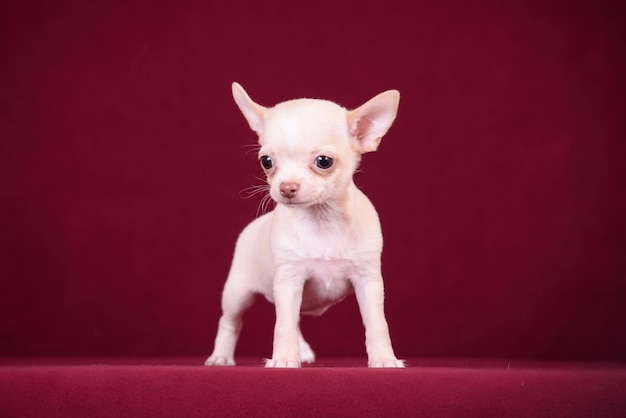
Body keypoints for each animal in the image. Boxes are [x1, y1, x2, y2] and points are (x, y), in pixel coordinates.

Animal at [202, 83, 402, 368]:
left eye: (324, 161)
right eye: (266, 161)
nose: (286, 187)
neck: (322, 220)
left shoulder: (369, 281)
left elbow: (377, 323)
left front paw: (384, 359)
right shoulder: (289, 280)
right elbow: (282, 325)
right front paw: (284, 359)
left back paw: (303, 349)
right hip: (237, 292)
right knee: (230, 321)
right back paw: (221, 355)